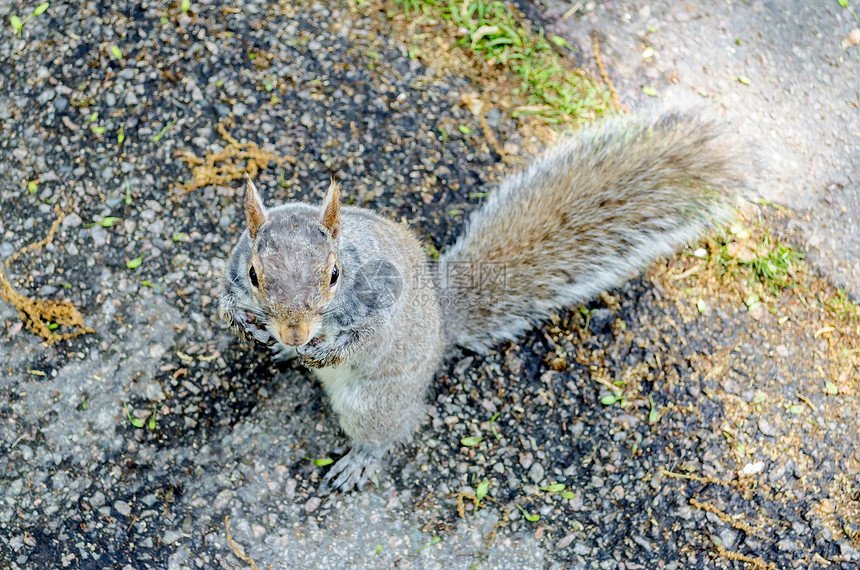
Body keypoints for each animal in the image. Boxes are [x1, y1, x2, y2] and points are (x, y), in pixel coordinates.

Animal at [220, 110, 744, 488]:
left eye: (334, 275)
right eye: (253, 274)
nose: (295, 332)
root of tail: (440, 329)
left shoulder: (379, 302)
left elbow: (364, 335)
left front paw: (325, 350)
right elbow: (225, 301)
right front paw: (244, 324)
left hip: (375, 400)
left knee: (389, 430)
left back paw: (358, 455)